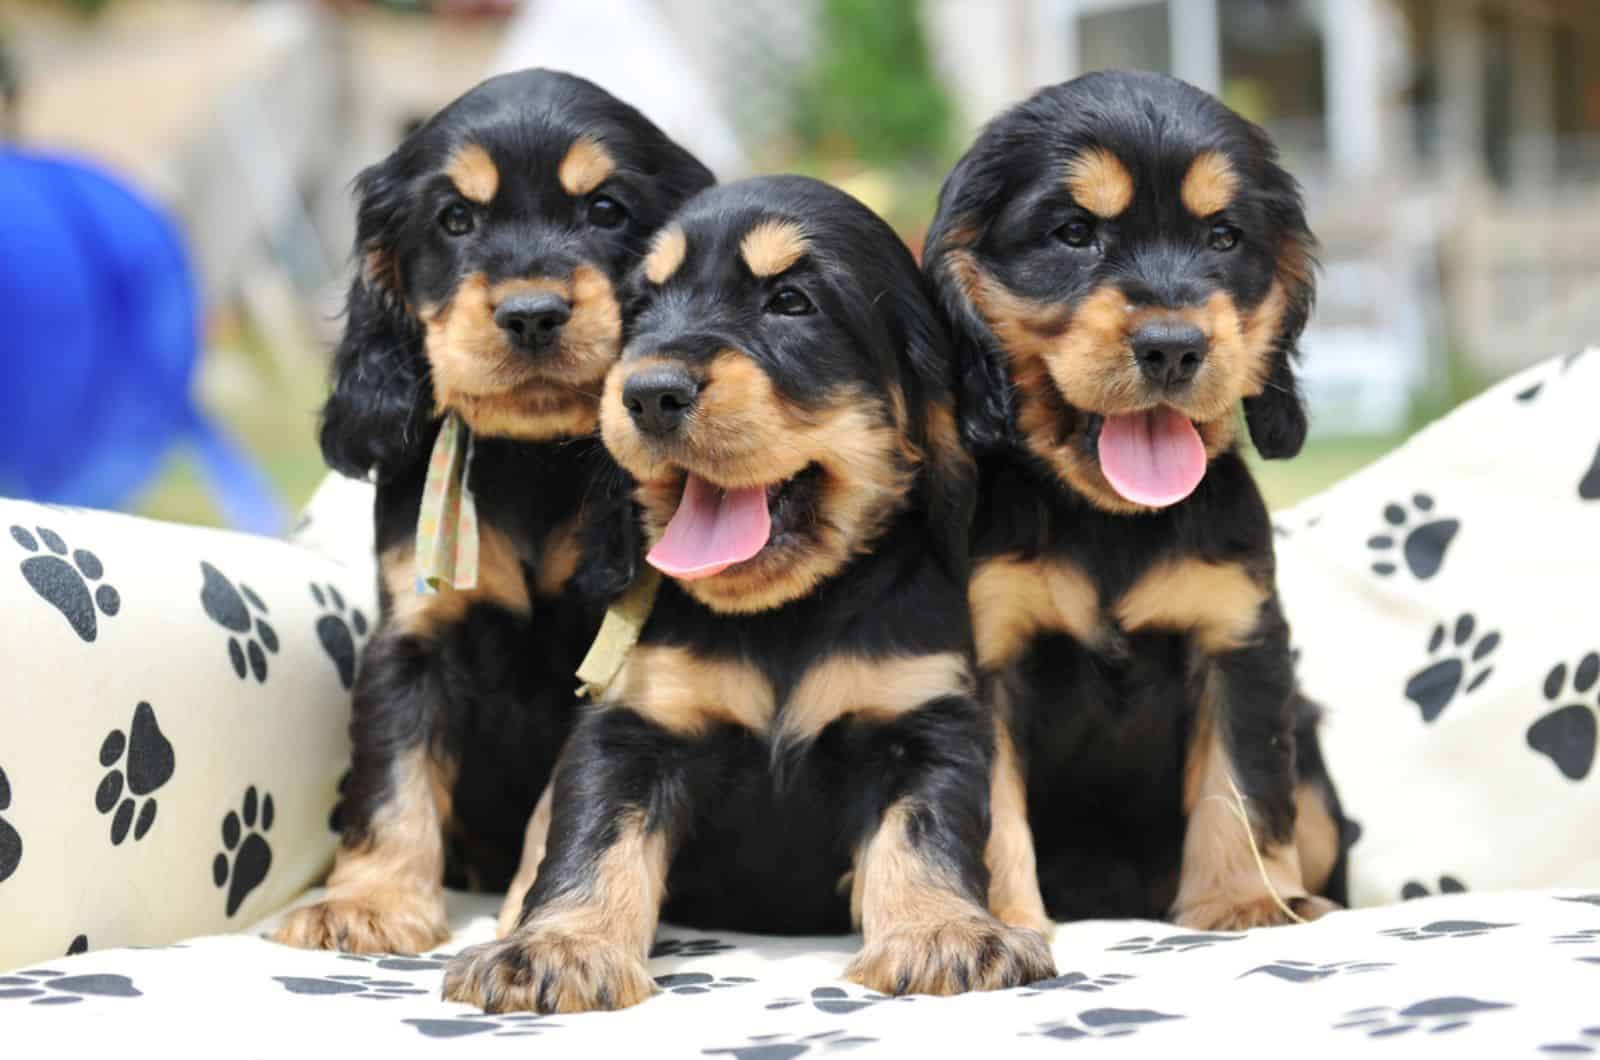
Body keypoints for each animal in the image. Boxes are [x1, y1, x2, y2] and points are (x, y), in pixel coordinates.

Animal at [272, 70, 710, 960]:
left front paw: (537, 913)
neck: (531, 460)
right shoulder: (414, 636)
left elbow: (564, 797)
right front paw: (368, 903)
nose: (532, 313)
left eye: (606, 210)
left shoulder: (603, 656)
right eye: (454, 219)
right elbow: (391, 776)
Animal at [444, 176, 1056, 1024]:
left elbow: (922, 833)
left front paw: (943, 933)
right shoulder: (633, 729)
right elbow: (591, 839)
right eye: (641, 310)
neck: (782, 616)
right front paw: (556, 947)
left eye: (791, 303)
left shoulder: (922, 723)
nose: (648, 393)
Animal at [928, 72, 1350, 928]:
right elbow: (992, 810)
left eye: (1224, 238)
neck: (1109, 521)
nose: (1173, 348)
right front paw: (1007, 921)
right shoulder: (990, 653)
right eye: (1073, 232)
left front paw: (1246, 901)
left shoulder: (1238, 640)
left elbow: (1242, 784)